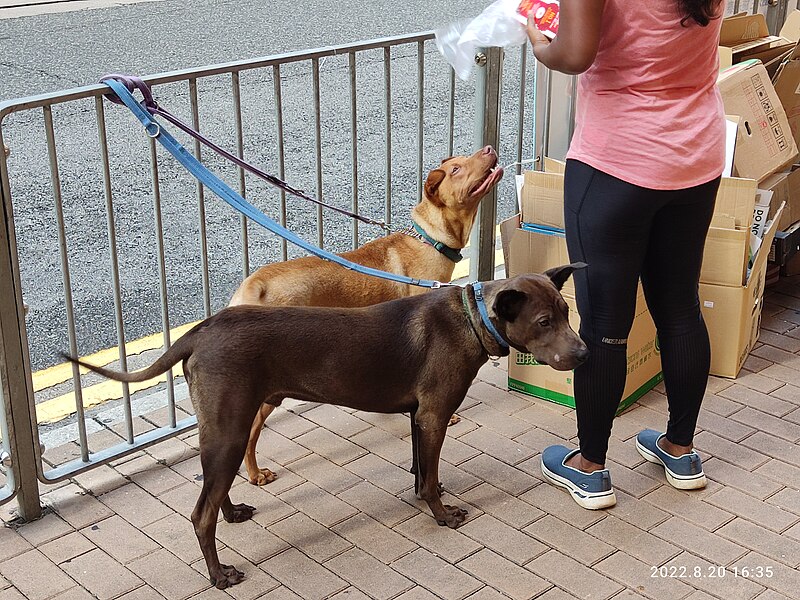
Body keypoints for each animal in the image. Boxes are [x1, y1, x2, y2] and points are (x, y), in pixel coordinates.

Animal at [64, 268, 588, 592]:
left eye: (566, 312)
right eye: (544, 320)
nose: (583, 354)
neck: (471, 318)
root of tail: (201, 329)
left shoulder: (417, 417)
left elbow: (422, 471)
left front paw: (426, 497)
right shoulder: (435, 415)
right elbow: (432, 478)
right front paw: (442, 515)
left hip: (226, 429)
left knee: (214, 492)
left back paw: (233, 513)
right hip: (232, 428)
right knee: (200, 514)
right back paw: (219, 575)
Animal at [230, 146, 500, 488]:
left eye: (462, 160)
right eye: (455, 169)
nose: (488, 149)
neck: (430, 240)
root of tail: (254, 284)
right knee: (250, 431)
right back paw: (254, 474)